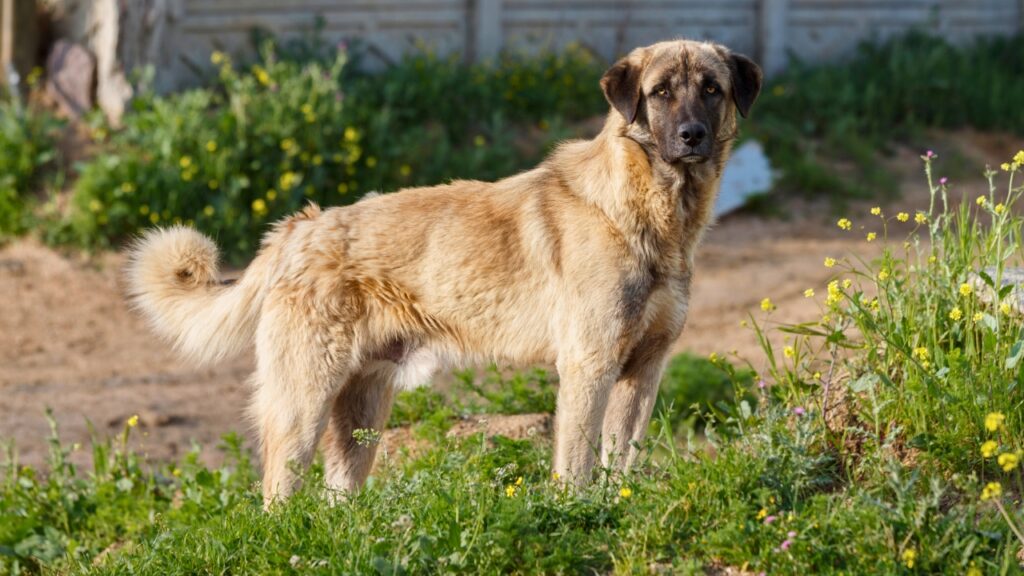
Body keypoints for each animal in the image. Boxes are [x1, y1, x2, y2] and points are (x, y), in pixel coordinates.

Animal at [125, 38, 761, 502]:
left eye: (711, 90)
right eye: (660, 93)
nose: (692, 136)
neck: (647, 211)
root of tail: (299, 227)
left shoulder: (644, 370)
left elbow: (623, 458)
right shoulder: (590, 365)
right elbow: (578, 463)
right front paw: (579, 513)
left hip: (362, 414)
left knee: (337, 498)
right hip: (302, 401)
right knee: (277, 494)